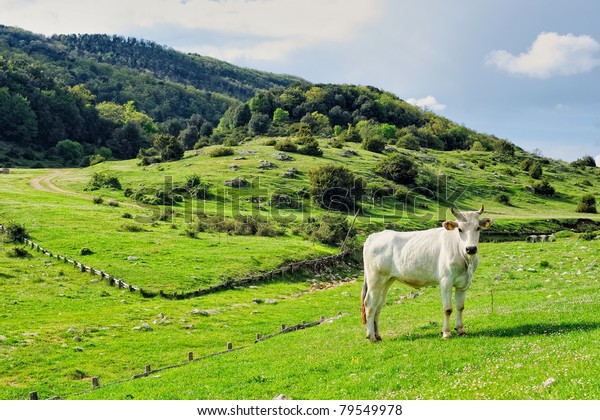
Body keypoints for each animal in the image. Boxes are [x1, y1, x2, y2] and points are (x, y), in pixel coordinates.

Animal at [360, 207, 492, 342]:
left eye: (478, 228)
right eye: (459, 229)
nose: (471, 249)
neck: (465, 259)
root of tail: (374, 236)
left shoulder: (463, 283)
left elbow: (460, 307)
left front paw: (460, 329)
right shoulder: (446, 281)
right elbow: (448, 309)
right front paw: (446, 333)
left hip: (387, 280)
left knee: (378, 305)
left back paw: (377, 335)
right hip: (375, 279)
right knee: (369, 304)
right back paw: (371, 336)